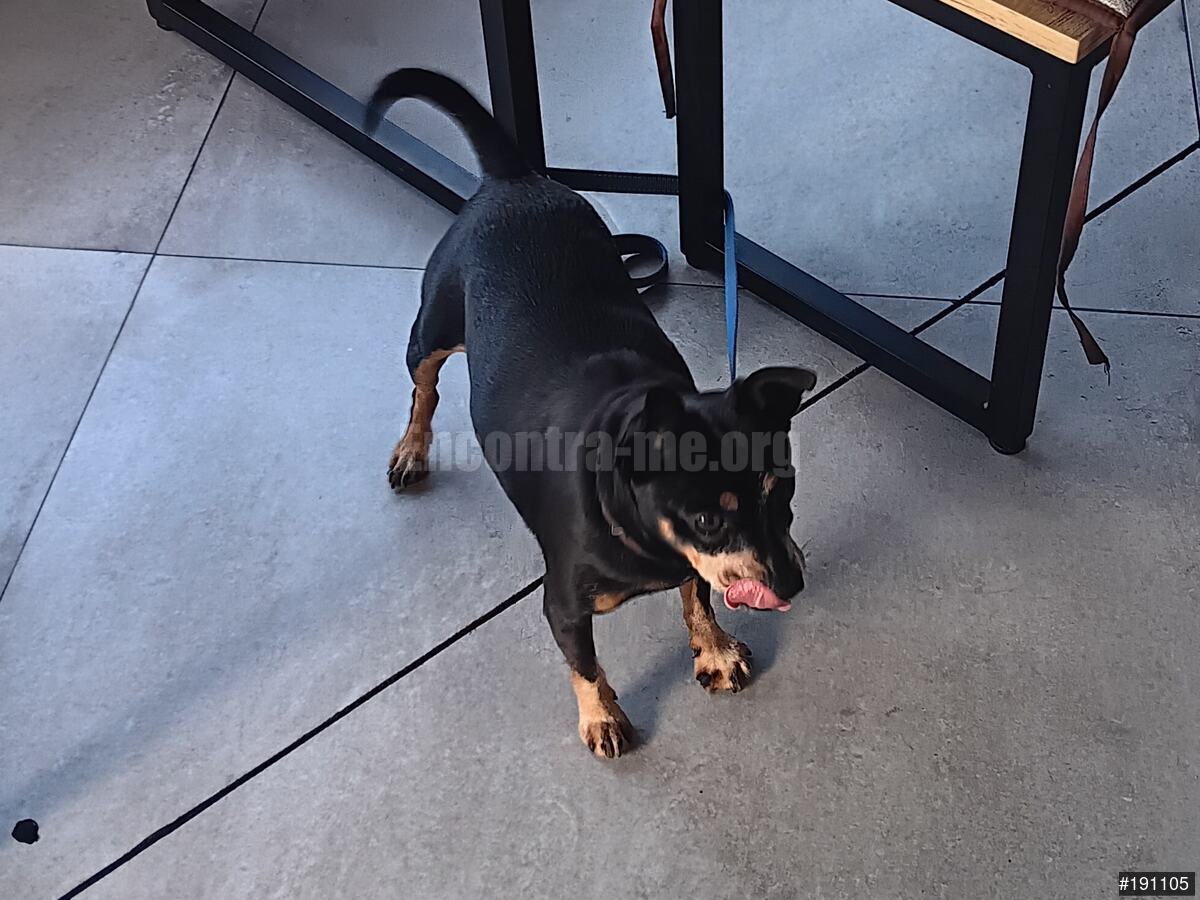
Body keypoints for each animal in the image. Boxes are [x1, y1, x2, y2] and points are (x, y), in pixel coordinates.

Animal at [367, 69, 814, 759]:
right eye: (709, 518)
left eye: (782, 491)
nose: (792, 585)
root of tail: (513, 179)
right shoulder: (564, 605)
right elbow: (585, 662)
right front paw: (601, 716)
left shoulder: (689, 562)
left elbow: (699, 595)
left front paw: (712, 650)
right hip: (432, 326)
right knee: (425, 386)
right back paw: (412, 450)